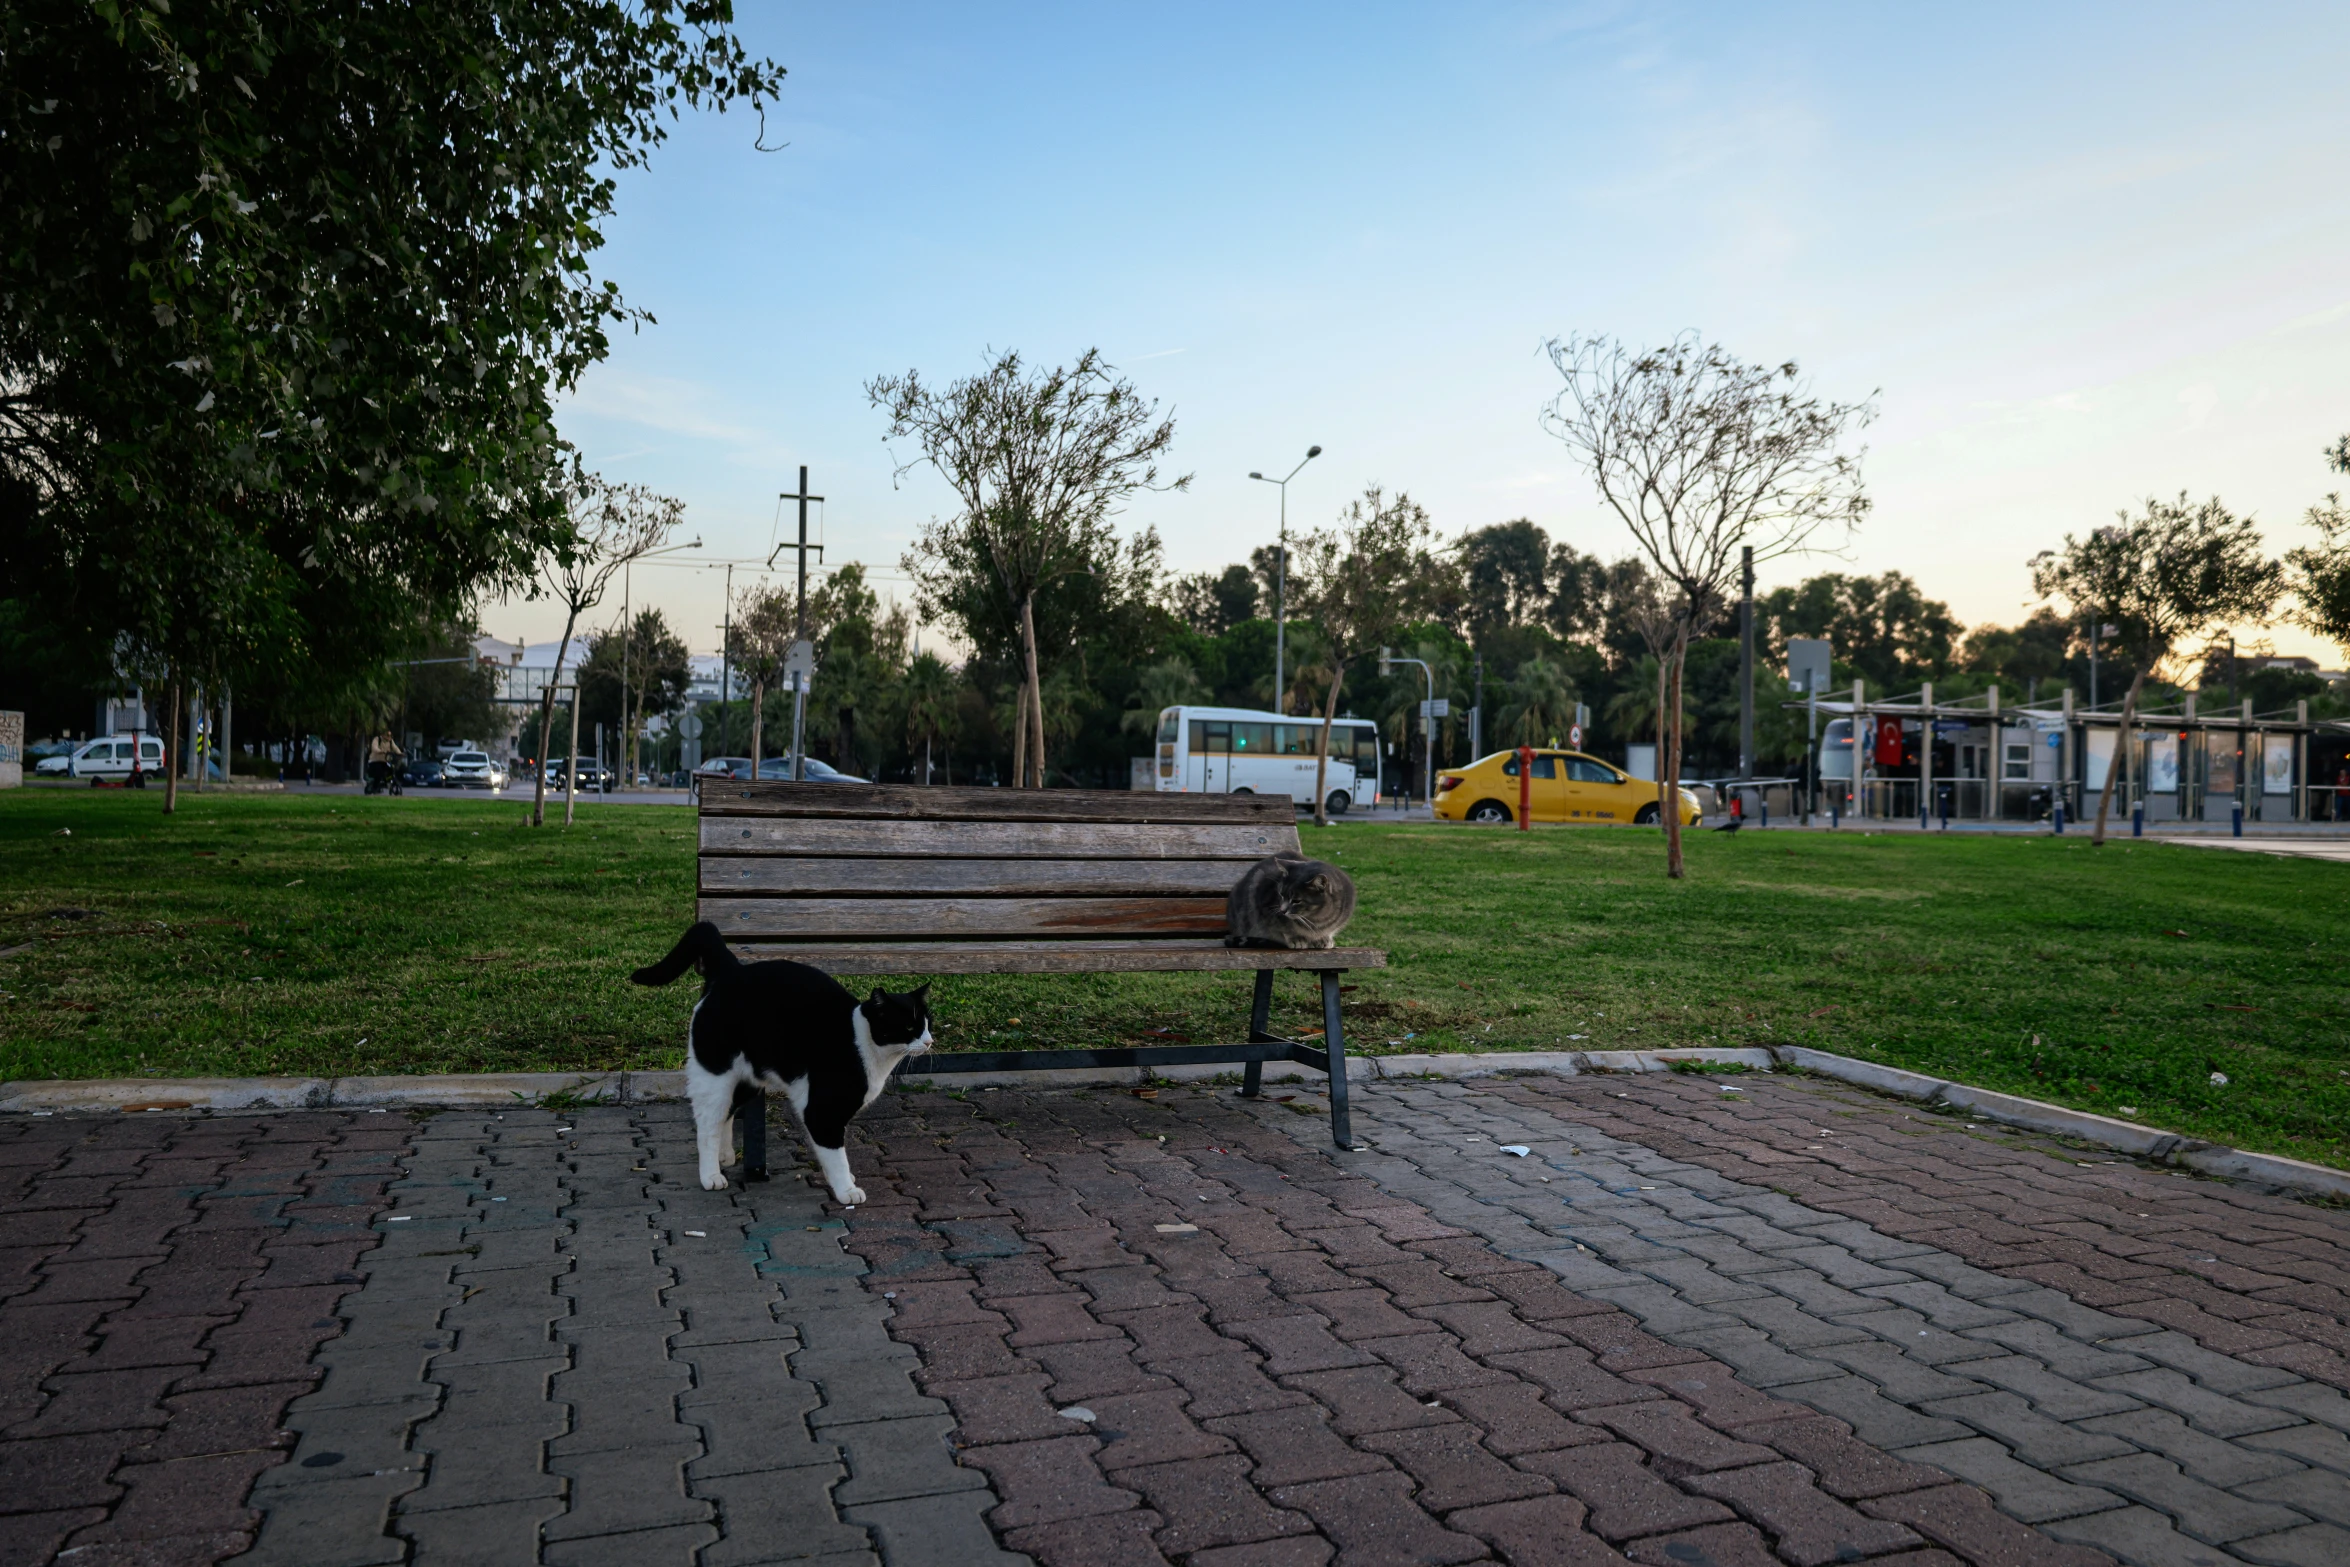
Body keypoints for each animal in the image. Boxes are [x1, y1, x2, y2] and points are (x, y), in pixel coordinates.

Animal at [629, 925, 930, 1212]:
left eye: (928, 1022)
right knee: (707, 1123)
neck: (864, 1042)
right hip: (715, 1074)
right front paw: (846, 1189)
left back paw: (724, 1156)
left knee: (726, 1112)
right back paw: (710, 1175)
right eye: (908, 1027)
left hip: (747, 1080)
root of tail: (731, 969)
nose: (929, 1041)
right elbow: (836, 1155)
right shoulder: (822, 1111)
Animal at [1222, 850, 1353, 949]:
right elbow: (1283, 929)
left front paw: (1324, 938)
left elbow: (1331, 929)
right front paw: (1296, 939)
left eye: (1296, 901)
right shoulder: (1265, 910)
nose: (1282, 910)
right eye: (1281, 894)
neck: (1316, 918)